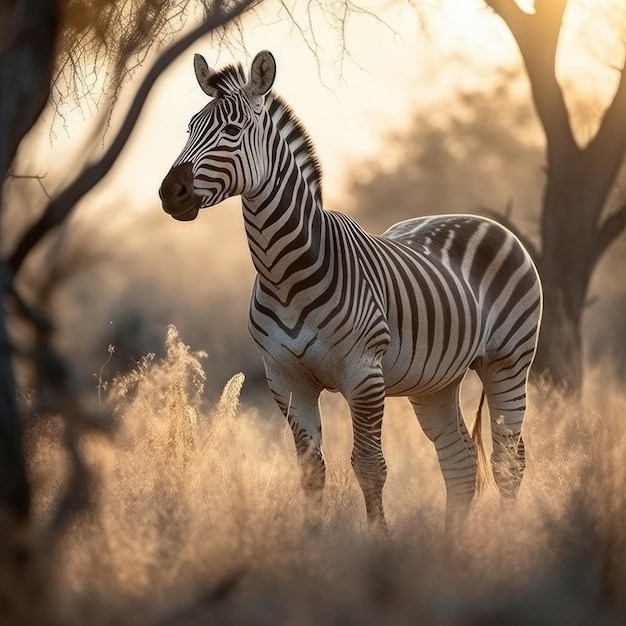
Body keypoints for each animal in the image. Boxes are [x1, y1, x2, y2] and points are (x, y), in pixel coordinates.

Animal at [160, 51, 540, 532]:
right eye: (190, 128)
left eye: (232, 130)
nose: (170, 192)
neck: (284, 275)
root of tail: (485, 221)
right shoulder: (285, 378)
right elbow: (311, 470)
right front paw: (313, 540)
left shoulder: (363, 374)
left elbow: (369, 465)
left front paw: (379, 540)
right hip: (435, 380)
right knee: (460, 458)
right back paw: (451, 542)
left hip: (509, 360)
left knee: (510, 459)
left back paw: (508, 535)